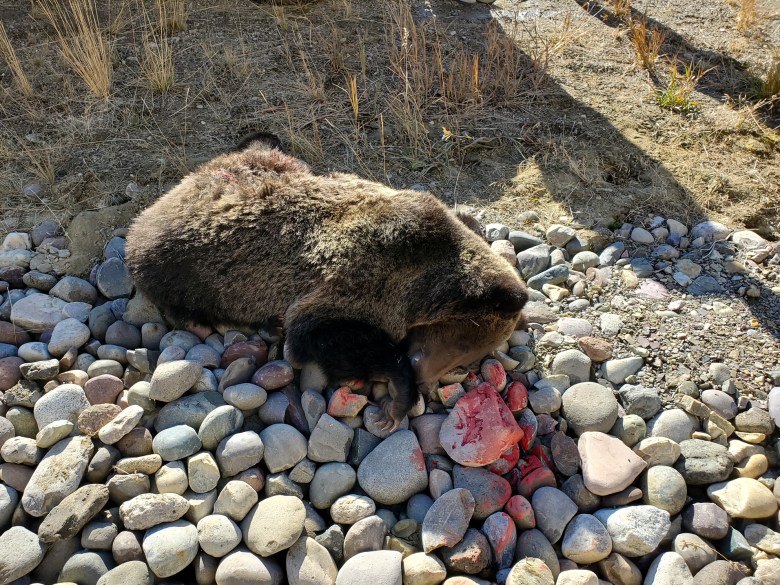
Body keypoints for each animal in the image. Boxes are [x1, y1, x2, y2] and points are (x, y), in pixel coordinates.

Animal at [126, 133, 532, 428]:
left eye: (466, 358)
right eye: (466, 344)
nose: (423, 372)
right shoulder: (349, 283)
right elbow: (319, 338)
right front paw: (398, 396)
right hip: (178, 267)